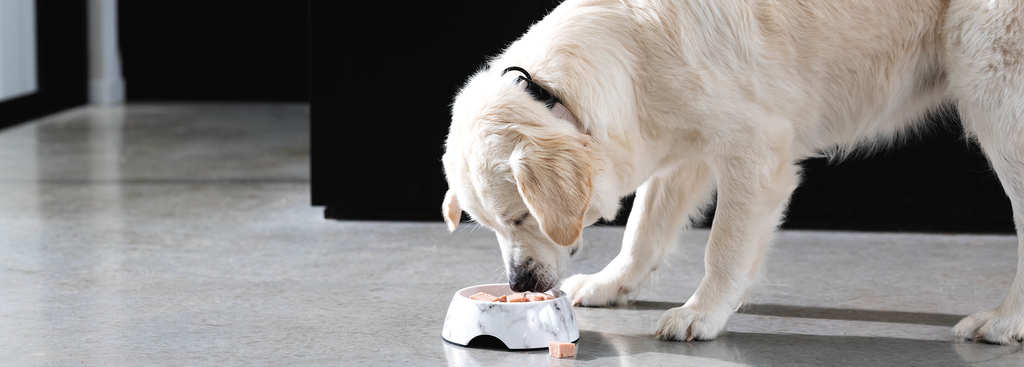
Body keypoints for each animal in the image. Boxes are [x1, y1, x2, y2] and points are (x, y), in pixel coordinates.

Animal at [436, 0, 1019, 344]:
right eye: (492, 227)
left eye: (520, 218)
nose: (518, 284)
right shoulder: (684, 150)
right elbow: (643, 231)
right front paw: (613, 283)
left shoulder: (756, 151)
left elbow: (724, 247)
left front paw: (704, 313)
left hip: (993, 91)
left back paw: (1005, 322)